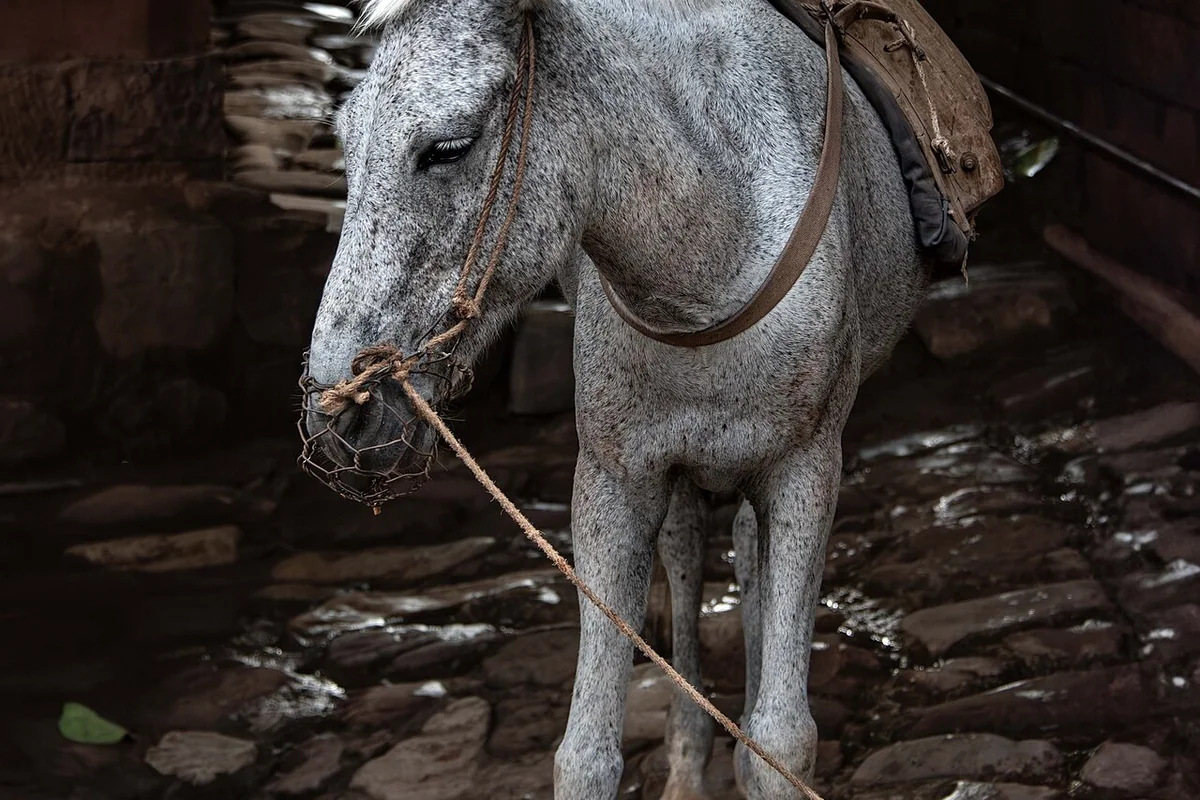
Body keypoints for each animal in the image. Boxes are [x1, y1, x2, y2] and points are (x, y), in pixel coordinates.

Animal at [301, 0, 929, 796]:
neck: (711, 254)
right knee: (690, 552)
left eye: (447, 148)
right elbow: (586, 750)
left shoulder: (806, 470)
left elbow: (783, 740)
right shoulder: (616, 479)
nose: (341, 416)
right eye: (346, 147)